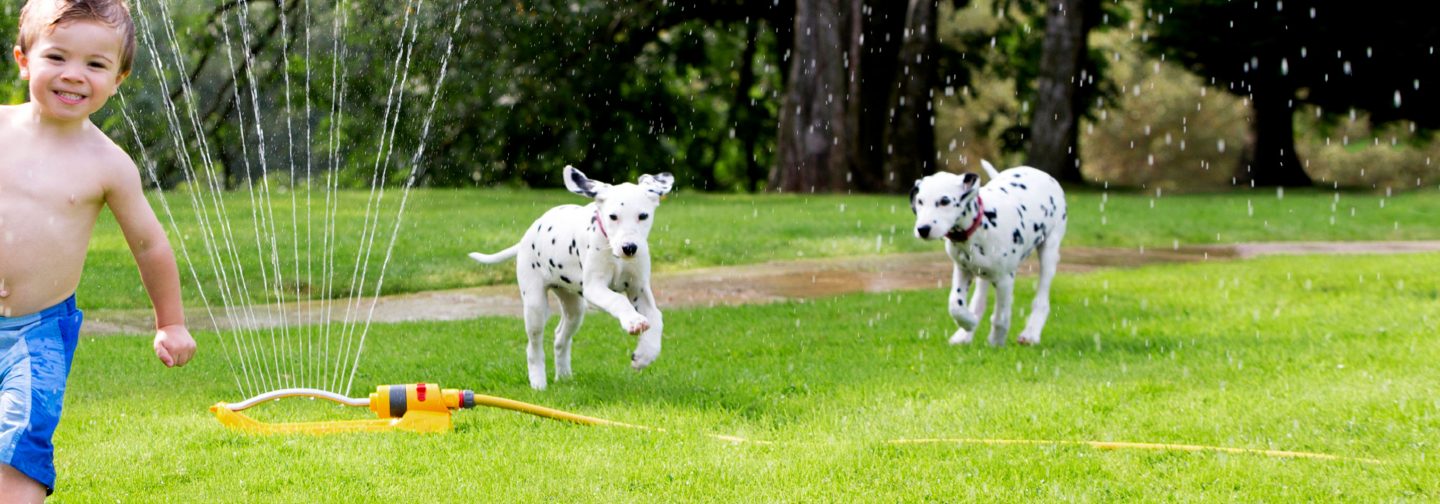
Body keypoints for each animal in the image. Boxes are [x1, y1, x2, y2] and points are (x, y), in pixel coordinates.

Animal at [472, 165, 673, 388]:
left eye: (643, 216)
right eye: (613, 216)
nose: (629, 247)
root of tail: (526, 237)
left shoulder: (639, 289)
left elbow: (656, 317)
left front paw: (645, 354)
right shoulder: (594, 289)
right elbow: (618, 300)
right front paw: (633, 321)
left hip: (574, 309)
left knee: (560, 337)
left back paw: (564, 376)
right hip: (535, 307)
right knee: (533, 346)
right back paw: (538, 382)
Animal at [915, 161, 1065, 347]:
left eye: (944, 201)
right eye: (920, 201)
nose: (923, 229)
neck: (981, 223)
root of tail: (1041, 173)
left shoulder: (1005, 279)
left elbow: (1000, 317)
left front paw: (996, 341)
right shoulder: (962, 270)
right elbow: (955, 305)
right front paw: (969, 323)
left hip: (1049, 252)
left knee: (1041, 300)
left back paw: (1030, 334)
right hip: (982, 271)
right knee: (978, 301)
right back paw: (964, 334)